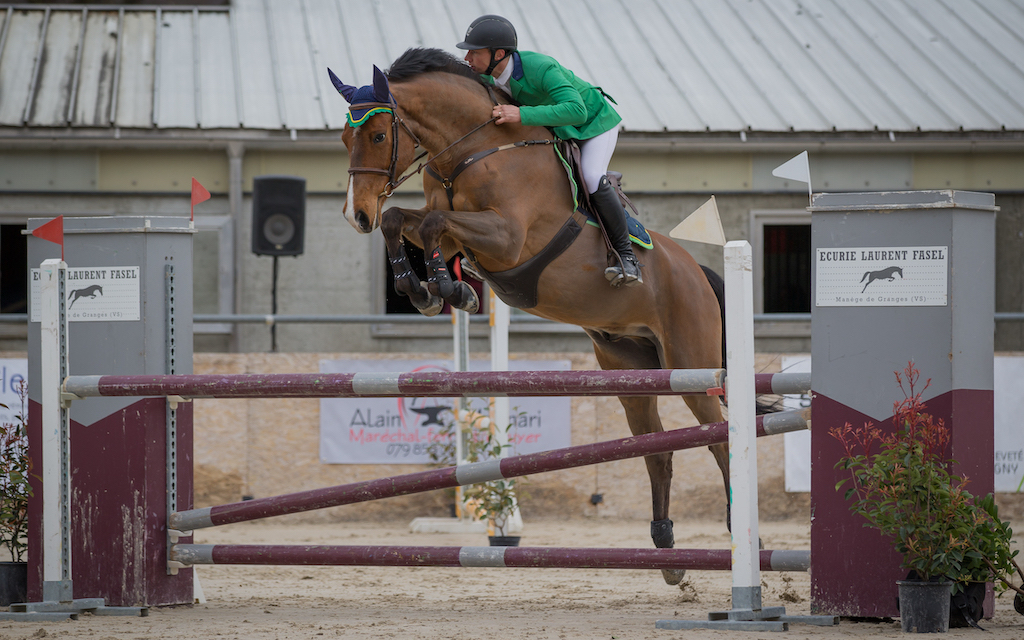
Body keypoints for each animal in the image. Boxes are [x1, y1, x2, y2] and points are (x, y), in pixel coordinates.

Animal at [339, 48, 733, 585]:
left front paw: (445, 287)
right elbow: (406, 220)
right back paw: (667, 551)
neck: (472, 149)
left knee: (720, 441)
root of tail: (697, 271)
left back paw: (739, 533)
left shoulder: (505, 238)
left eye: (379, 136)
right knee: (657, 451)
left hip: (691, 363)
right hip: (632, 369)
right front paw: (426, 289)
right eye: (344, 138)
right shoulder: (458, 230)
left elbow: (436, 222)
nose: (357, 216)